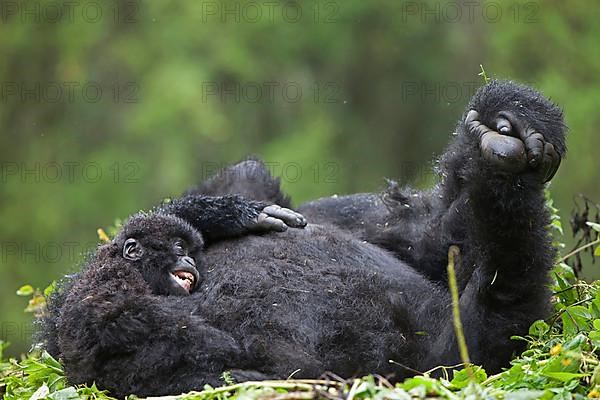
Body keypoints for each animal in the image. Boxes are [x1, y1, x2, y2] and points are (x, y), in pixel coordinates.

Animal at [43, 80, 568, 396]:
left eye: (184, 252)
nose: (186, 263)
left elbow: (421, 233)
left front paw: (225, 215)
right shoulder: (96, 312)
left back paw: (505, 146)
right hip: (455, 359)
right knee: (495, 321)